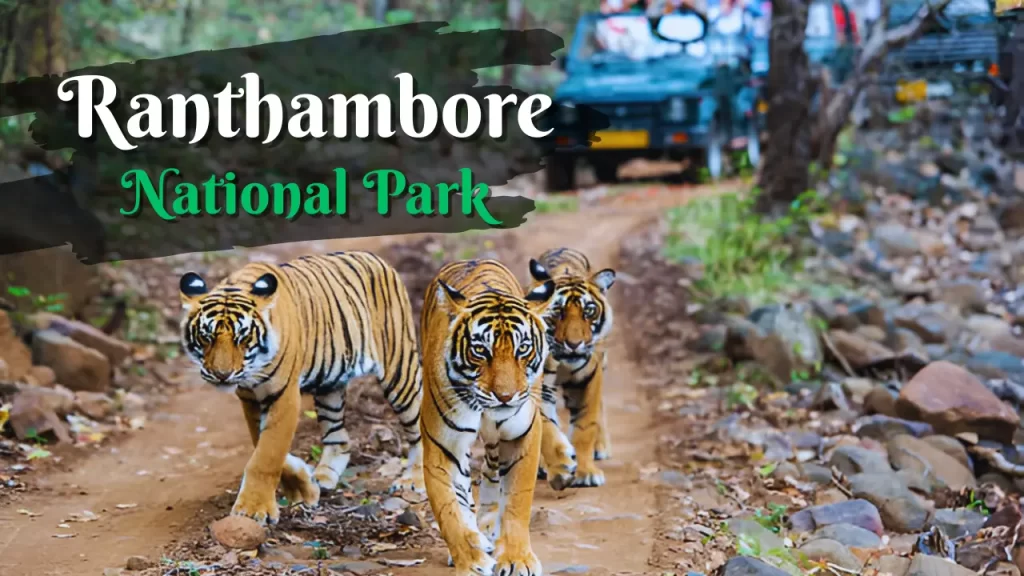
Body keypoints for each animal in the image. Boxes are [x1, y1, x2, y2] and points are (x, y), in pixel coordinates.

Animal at [178, 251, 425, 525]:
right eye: (206, 337)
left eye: (243, 337)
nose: (222, 375)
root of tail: (376, 258)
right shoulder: (250, 398)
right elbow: (262, 444)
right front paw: (304, 488)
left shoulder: (283, 395)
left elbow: (268, 453)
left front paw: (253, 510)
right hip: (330, 385)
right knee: (339, 438)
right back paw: (324, 477)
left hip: (399, 369)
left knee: (420, 426)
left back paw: (414, 481)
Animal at [419, 259, 555, 576]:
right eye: (480, 350)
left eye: (523, 348)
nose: (505, 396)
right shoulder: (441, 446)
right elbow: (449, 511)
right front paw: (470, 562)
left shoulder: (522, 436)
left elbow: (517, 500)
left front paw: (517, 559)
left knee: (492, 470)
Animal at [527, 247, 616, 488]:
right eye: (558, 312)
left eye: (589, 311)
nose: (574, 344)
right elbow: (546, 427)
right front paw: (560, 466)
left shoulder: (588, 378)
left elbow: (585, 426)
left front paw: (586, 473)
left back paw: (600, 447)